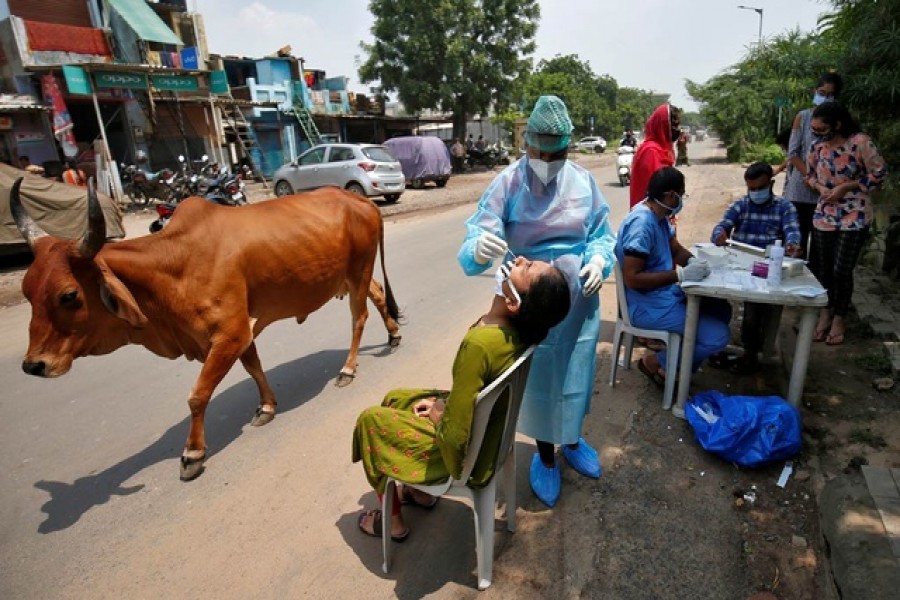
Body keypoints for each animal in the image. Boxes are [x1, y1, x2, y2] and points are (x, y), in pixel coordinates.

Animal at [10, 178, 400, 478]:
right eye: (27, 290)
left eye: (69, 295)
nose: (34, 365)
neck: (173, 267)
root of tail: (360, 199)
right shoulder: (240, 330)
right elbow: (253, 366)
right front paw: (266, 407)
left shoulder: (231, 332)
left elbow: (198, 395)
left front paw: (192, 454)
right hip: (350, 276)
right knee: (379, 296)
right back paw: (393, 334)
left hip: (358, 270)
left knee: (359, 317)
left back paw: (348, 369)